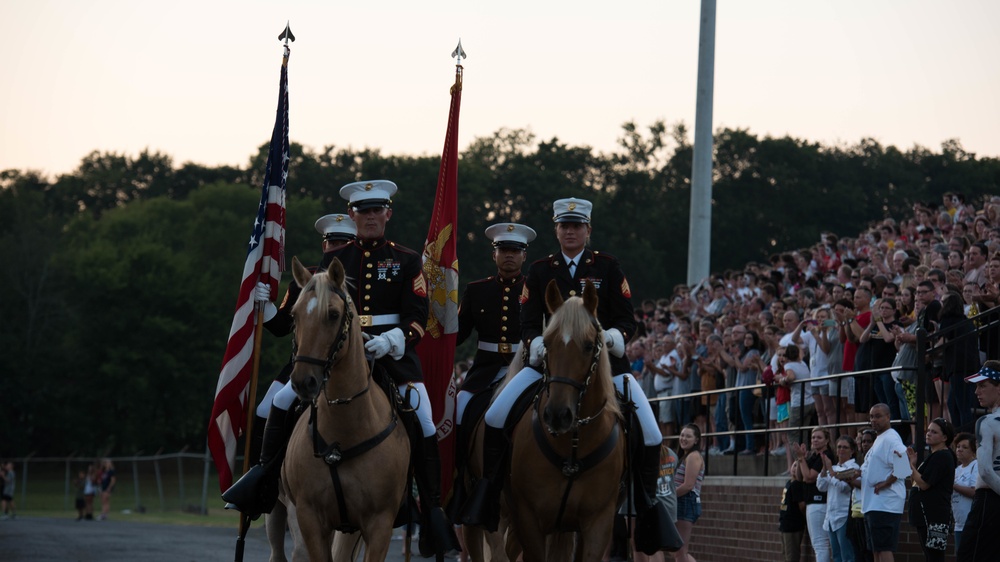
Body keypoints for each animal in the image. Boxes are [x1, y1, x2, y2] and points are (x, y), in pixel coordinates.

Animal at [508, 278, 624, 560]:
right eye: (547, 344)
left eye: (589, 345)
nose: (558, 415)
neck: (573, 445)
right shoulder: (528, 518)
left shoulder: (598, 521)